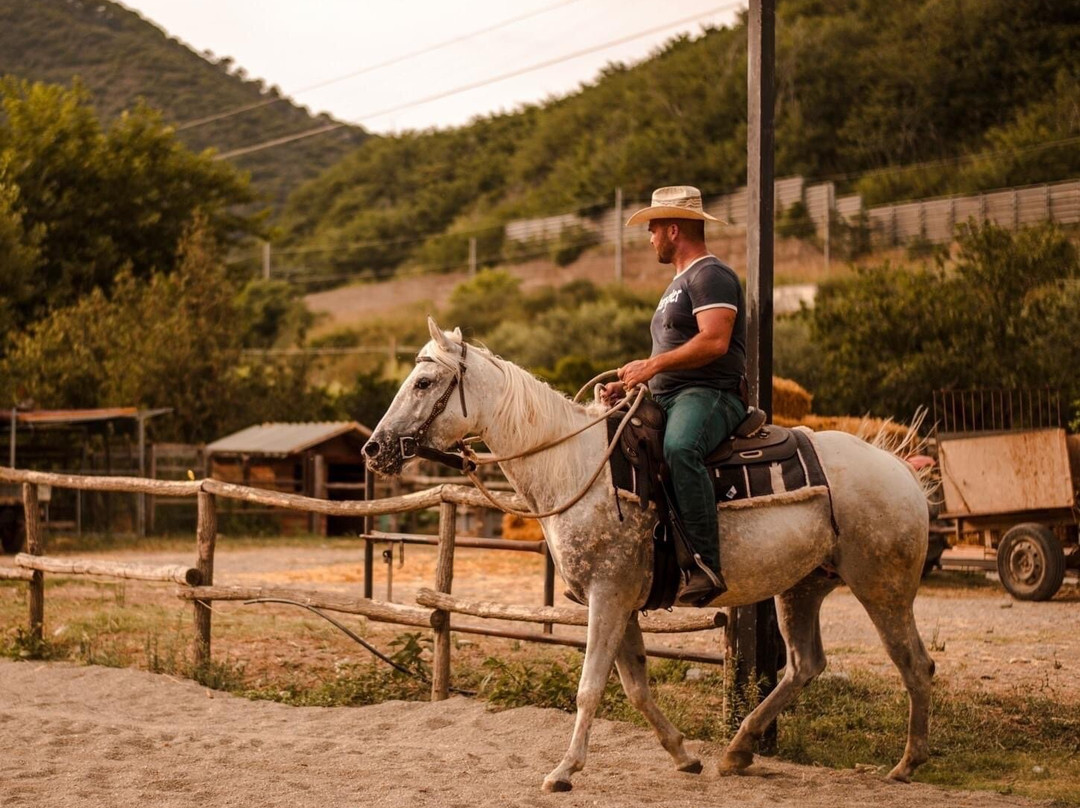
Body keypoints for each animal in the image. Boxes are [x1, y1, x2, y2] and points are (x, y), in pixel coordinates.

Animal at [365, 319, 937, 790]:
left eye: (423, 383)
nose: (375, 448)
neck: (577, 465)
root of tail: (899, 468)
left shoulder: (607, 597)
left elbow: (590, 687)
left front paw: (564, 771)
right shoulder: (621, 603)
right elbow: (635, 686)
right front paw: (684, 756)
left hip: (882, 588)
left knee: (915, 664)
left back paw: (907, 763)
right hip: (804, 586)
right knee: (804, 665)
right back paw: (737, 751)